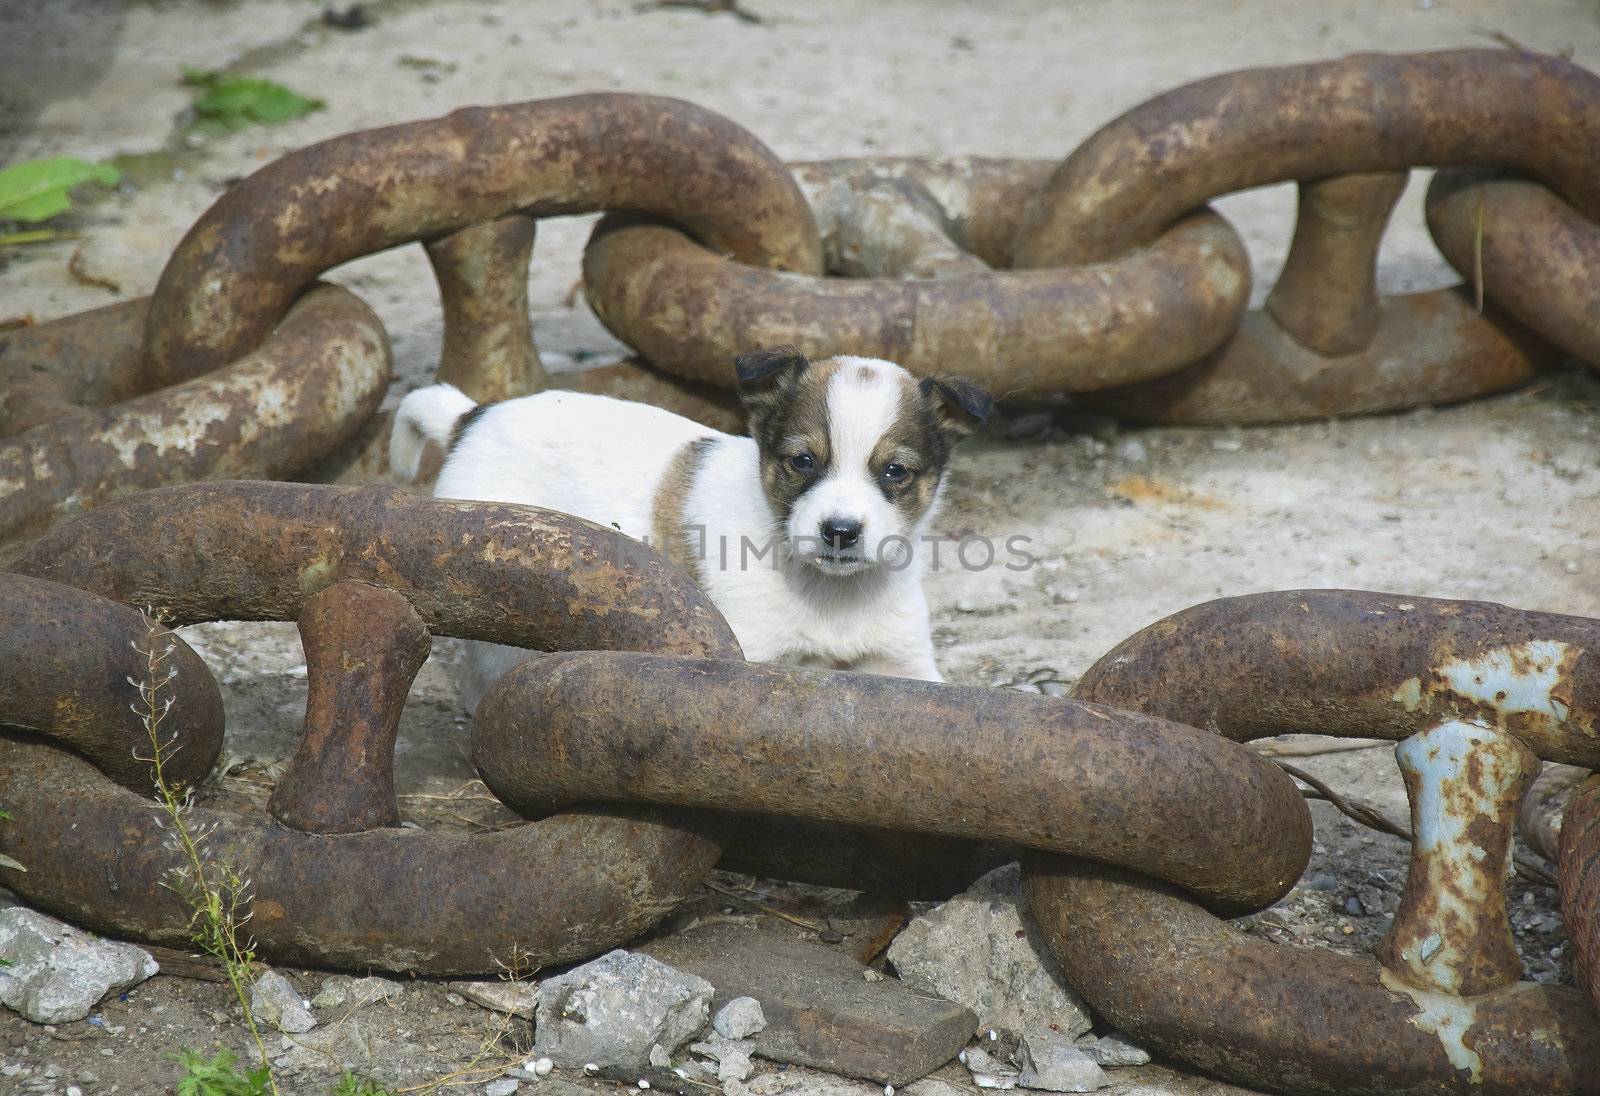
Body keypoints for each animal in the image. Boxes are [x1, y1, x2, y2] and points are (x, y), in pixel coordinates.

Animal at [390, 350, 985, 710]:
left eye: (895, 471)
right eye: (802, 461)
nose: (840, 530)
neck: (831, 595)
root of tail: (470, 418)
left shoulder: (904, 663)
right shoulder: (747, 654)